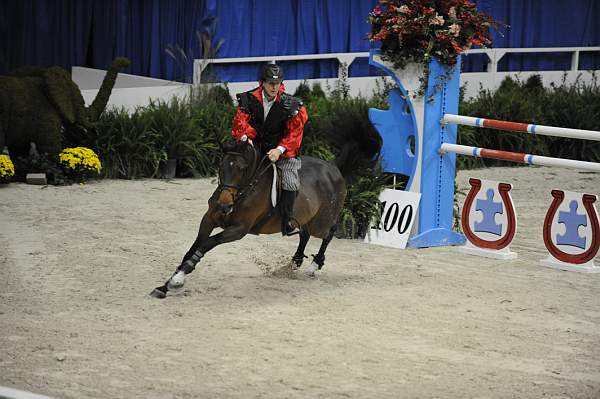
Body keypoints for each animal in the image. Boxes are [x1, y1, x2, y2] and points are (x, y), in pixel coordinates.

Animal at [150, 141, 346, 300]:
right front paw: (165, 285)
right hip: (306, 218)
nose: (224, 206)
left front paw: (176, 280)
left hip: (320, 223)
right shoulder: (208, 220)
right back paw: (295, 262)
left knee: (329, 233)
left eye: (242, 169)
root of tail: (334, 169)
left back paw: (314, 265)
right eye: (221, 166)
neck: (242, 192)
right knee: (304, 234)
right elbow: (192, 248)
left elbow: (206, 244)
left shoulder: (239, 229)